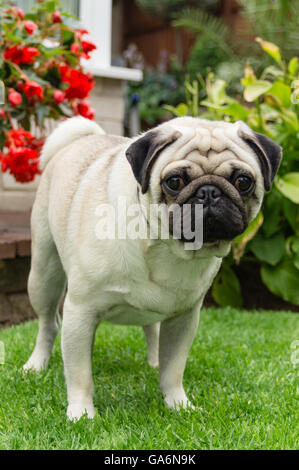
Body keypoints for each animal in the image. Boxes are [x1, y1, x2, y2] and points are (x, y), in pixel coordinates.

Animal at [22, 115, 282, 420]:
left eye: (243, 181)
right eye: (174, 181)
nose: (209, 192)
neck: (166, 247)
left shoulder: (184, 319)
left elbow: (173, 370)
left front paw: (178, 404)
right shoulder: (81, 312)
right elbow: (79, 374)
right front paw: (81, 414)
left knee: (153, 330)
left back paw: (155, 361)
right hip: (44, 275)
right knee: (48, 323)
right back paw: (36, 365)